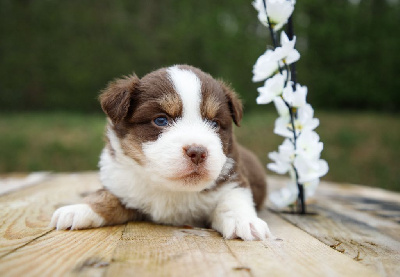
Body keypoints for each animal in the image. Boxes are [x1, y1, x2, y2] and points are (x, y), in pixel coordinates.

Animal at [48, 64, 270, 239]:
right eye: (161, 120)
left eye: (215, 124)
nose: (198, 152)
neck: (171, 189)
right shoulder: (122, 184)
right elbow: (105, 196)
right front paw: (79, 209)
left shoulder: (234, 180)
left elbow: (233, 201)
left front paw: (244, 221)